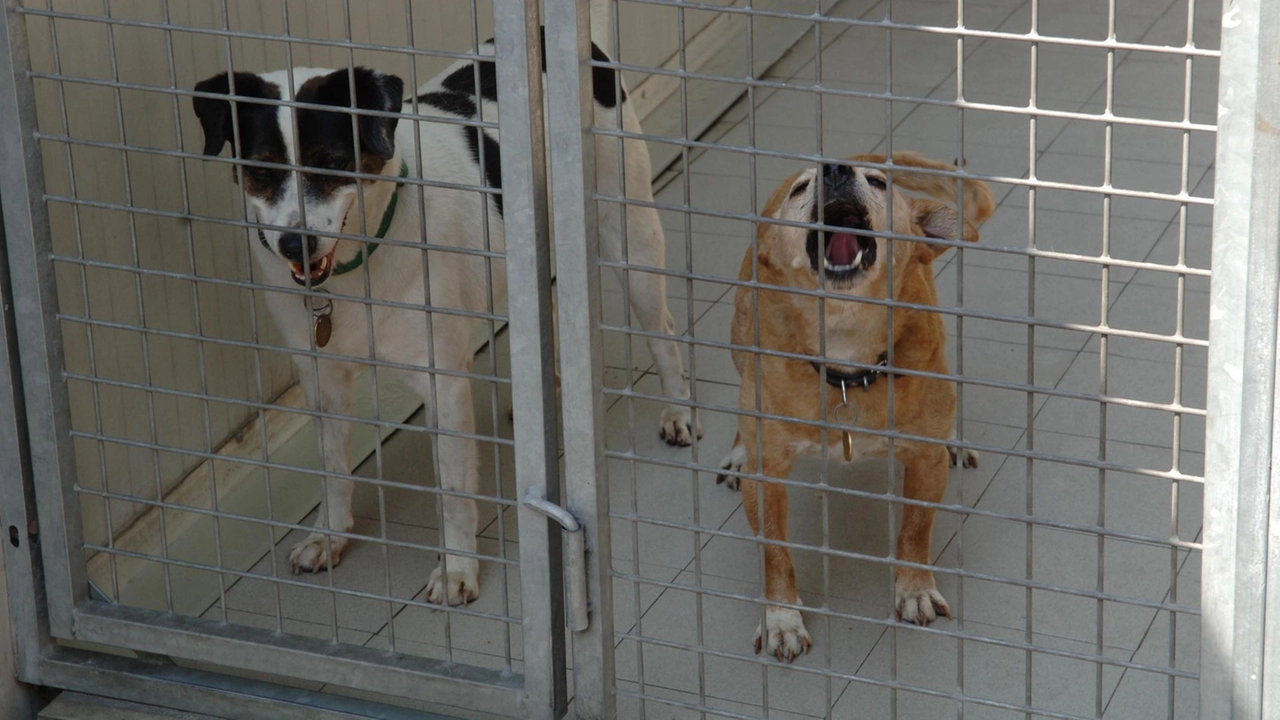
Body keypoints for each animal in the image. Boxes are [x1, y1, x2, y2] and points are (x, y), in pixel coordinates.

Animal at [192, 36, 701, 602]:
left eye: (333, 162)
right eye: (260, 170)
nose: (293, 244)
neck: (357, 266)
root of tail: (558, 34)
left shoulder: (445, 385)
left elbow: (454, 490)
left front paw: (458, 569)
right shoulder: (321, 378)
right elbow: (332, 467)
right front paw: (329, 535)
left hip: (630, 235)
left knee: (662, 331)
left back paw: (678, 412)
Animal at [716, 152, 993, 661]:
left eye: (881, 184)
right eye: (800, 189)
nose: (835, 169)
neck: (847, 360)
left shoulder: (923, 463)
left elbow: (915, 529)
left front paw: (914, 589)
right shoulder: (769, 477)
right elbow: (775, 554)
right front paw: (782, 618)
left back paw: (953, 438)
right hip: (740, 339)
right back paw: (738, 451)